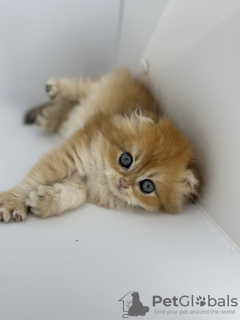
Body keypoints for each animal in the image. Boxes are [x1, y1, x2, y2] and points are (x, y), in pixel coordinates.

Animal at [0, 68, 201, 221]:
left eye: (147, 186)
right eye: (126, 159)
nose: (124, 183)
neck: (102, 172)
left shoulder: (84, 183)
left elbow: (77, 194)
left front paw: (45, 201)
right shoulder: (69, 155)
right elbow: (33, 180)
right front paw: (12, 202)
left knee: (70, 109)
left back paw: (49, 117)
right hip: (99, 86)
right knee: (82, 88)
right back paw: (57, 89)